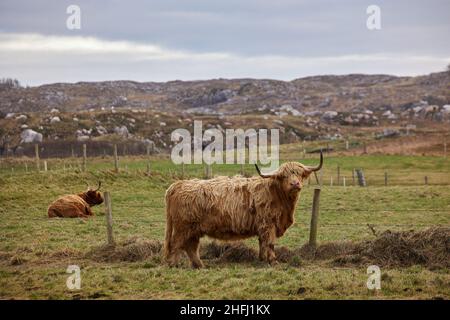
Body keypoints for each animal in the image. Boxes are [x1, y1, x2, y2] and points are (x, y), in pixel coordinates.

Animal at [165, 152, 324, 268]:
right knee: (176, 244)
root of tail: (178, 184)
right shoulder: (268, 224)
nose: (295, 184)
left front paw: (262, 259)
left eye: (299, 174)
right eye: (284, 176)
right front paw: (273, 261)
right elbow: (270, 243)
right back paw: (173, 264)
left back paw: (199, 265)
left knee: (191, 246)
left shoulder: (263, 226)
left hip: (194, 229)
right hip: (183, 227)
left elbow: (262, 243)